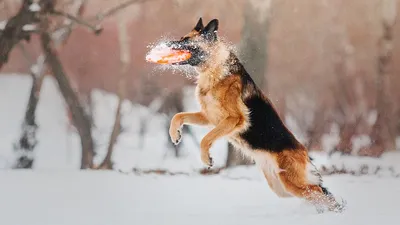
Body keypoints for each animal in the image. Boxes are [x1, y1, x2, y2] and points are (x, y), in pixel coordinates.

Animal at [165, 18, 344, 213]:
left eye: (186, 40)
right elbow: (178, 116)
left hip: (291, 183)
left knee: (318, 191)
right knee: (317, 192)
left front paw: (207, 159)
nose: (167, 45)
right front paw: (175, 135)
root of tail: (305, 153)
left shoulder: (234, 119)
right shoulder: (210, 117)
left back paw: (336, 209)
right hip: (280, 187)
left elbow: (206, 139)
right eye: (181, 38)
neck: (215, 67)